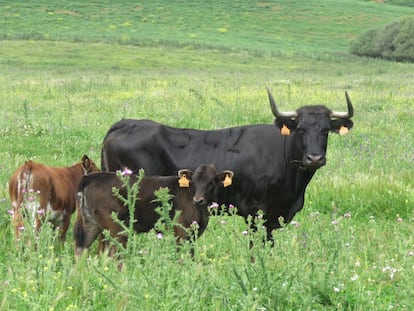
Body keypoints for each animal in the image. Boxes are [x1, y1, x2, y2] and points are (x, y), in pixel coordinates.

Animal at [75, 165, 234, 258]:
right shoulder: (181, 231)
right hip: (115, 227)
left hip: (90, 223)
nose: (198, 200)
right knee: (115, 254)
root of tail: (89, 178)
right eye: (193, 181)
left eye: (212, 182)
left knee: (80, 249)